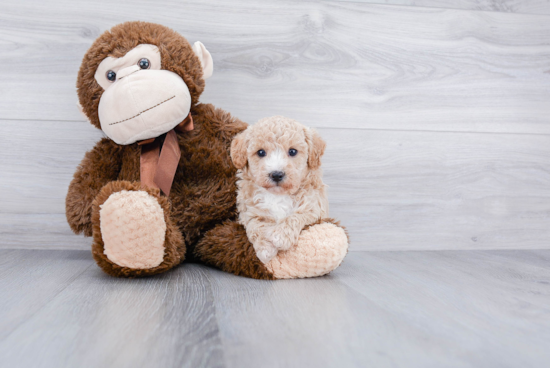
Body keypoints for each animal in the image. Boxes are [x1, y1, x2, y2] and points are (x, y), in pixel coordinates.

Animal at [232, 115, 344, 268]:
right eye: (261, 152)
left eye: (292, 151)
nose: (276, 174)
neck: (278, 195)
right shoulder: (249, 211)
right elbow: (255, 226)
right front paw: (265, 248)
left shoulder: (314, 208)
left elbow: (296, 216)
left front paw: (280, 237)